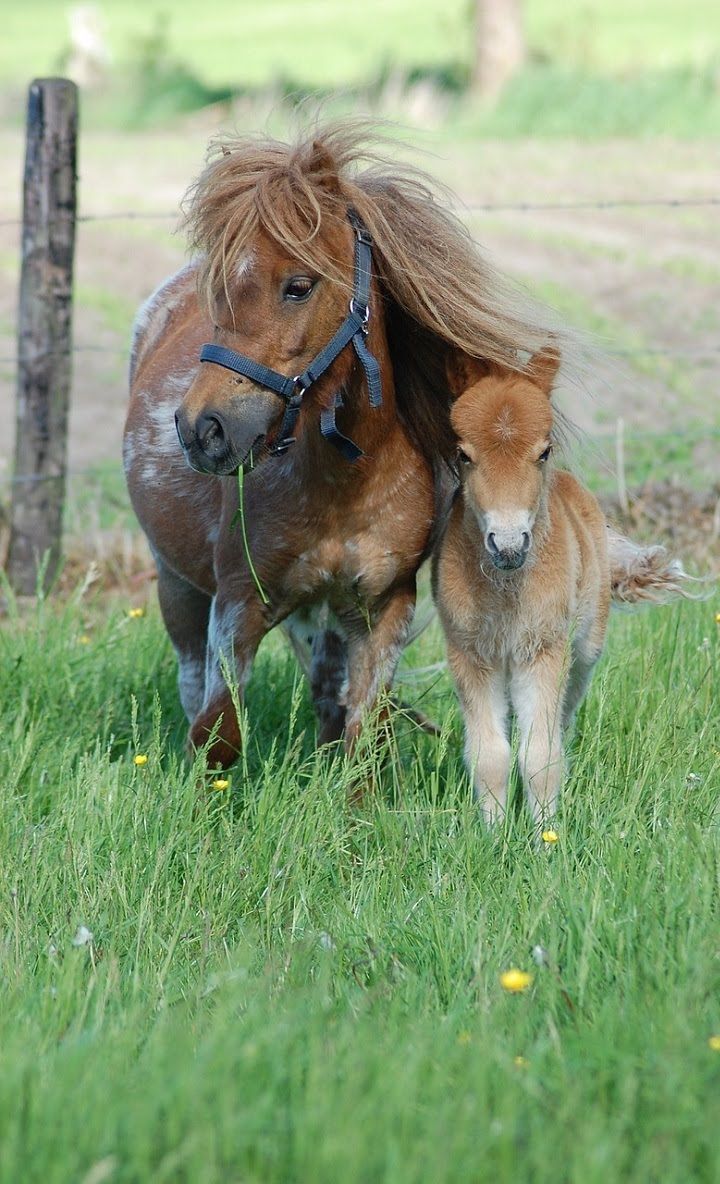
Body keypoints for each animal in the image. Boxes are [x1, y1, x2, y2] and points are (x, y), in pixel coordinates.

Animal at [123, 121, 688, 771]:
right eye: (218, 290)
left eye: (298, 286)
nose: (204, 430)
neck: (342, 484)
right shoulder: (237, 609)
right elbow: (218, 736)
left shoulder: (382, 611)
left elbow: (363, 736)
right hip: (178, 585)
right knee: (194, 681)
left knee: (327, 693)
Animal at [433, 347, 691, 826]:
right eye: (462, 454)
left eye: (544, 451)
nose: (509, 544)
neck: (506, 591)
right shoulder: (470, 655)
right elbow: (490, 756)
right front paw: (494, 834)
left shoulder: (543, 652)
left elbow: (541, 757)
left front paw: (545, 837)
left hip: (585, 644)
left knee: (568, 705)